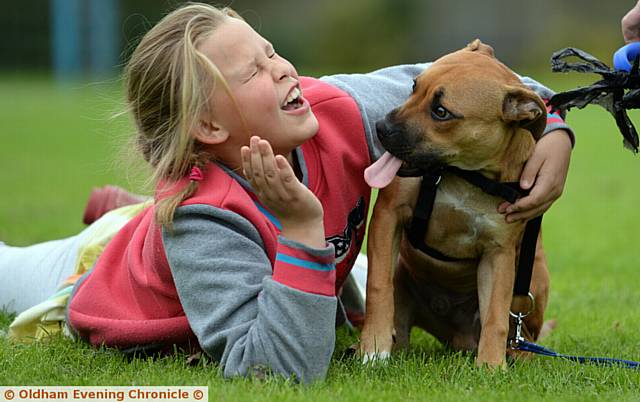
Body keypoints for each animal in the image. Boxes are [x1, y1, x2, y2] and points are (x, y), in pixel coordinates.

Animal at [360, 39, 552, 366]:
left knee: (521, 330)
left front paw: (491, 367)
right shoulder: (388, 215)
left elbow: (496, 317)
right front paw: (373, 347)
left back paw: (517, 354)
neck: (466, 176)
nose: (380, 127)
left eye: (441, 112)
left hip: (535, 274)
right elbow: (378, 286)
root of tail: (457, 337)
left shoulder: (498, 254)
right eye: (414, 86)